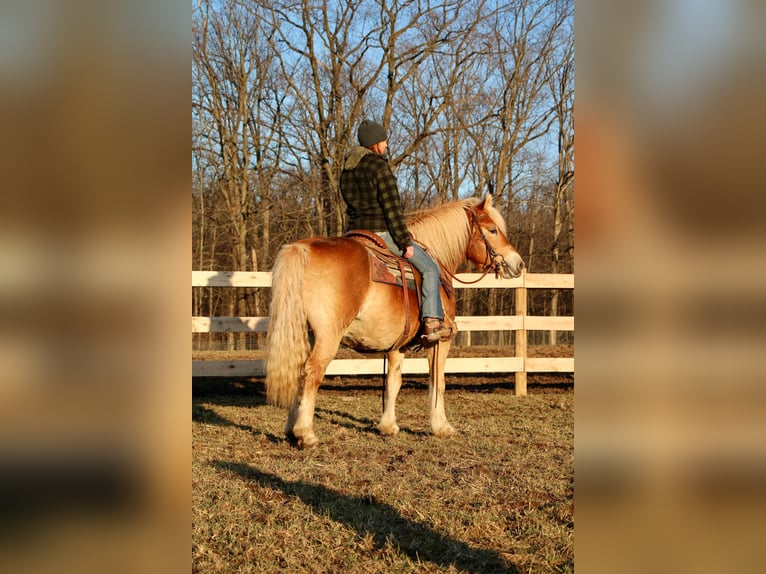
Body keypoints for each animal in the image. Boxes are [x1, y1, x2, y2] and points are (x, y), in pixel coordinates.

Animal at [268, 196, 524, 448]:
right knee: (312, 373)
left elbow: (394, 381)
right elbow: (438, 381)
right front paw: (442, 427)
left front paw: (388, 426)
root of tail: (303, 248)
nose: (518, 263)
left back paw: (290, 430)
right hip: (328, 337)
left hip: (304, 333)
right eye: (492, 230)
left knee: (297, 372)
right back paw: (305, 434)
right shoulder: (440, 341)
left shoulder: (396, 345)